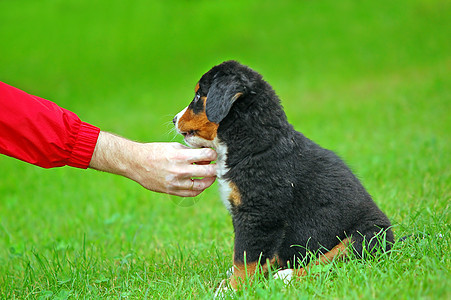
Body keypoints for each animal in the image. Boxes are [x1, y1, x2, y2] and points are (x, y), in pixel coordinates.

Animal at [173, 60, 396, 290]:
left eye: (198, 96)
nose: (174, 119)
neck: (255, 144)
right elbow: (249, 256)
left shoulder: (258, 215)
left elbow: (245, 257)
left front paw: (233, 288)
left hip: (366, 235)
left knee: (332, 260)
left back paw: (287, 276)